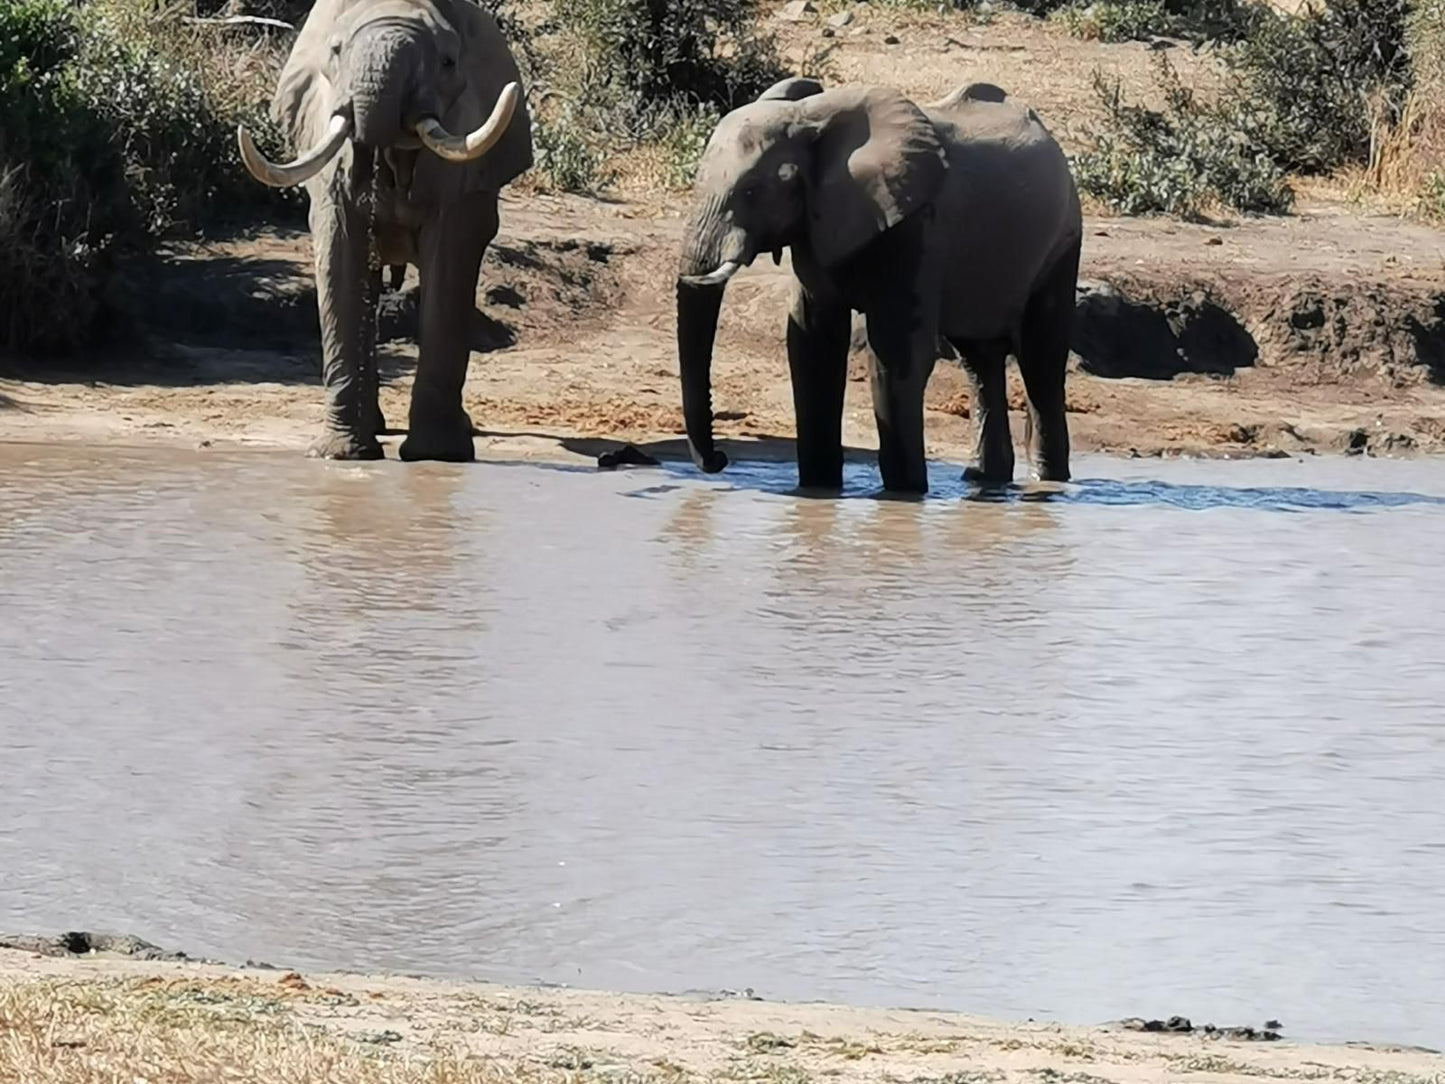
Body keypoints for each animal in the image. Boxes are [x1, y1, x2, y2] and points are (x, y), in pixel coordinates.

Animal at [236, 0, 531, 462]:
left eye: (447, 62)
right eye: (336, 51)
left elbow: (448, 265)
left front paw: (436, 457)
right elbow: (340, 256)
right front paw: (340, 456)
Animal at [676, 77, 1086, 497]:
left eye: (751, 190)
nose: (719, 460)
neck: (810, 117)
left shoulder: (915, 223)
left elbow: (896, 351)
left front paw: (903, 495)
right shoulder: (815, 226)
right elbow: (812, 345)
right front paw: (819, 491)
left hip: (1062, 239)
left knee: (1040, 359)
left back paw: (1046, 482)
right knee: (980, 359)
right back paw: (984, 479)